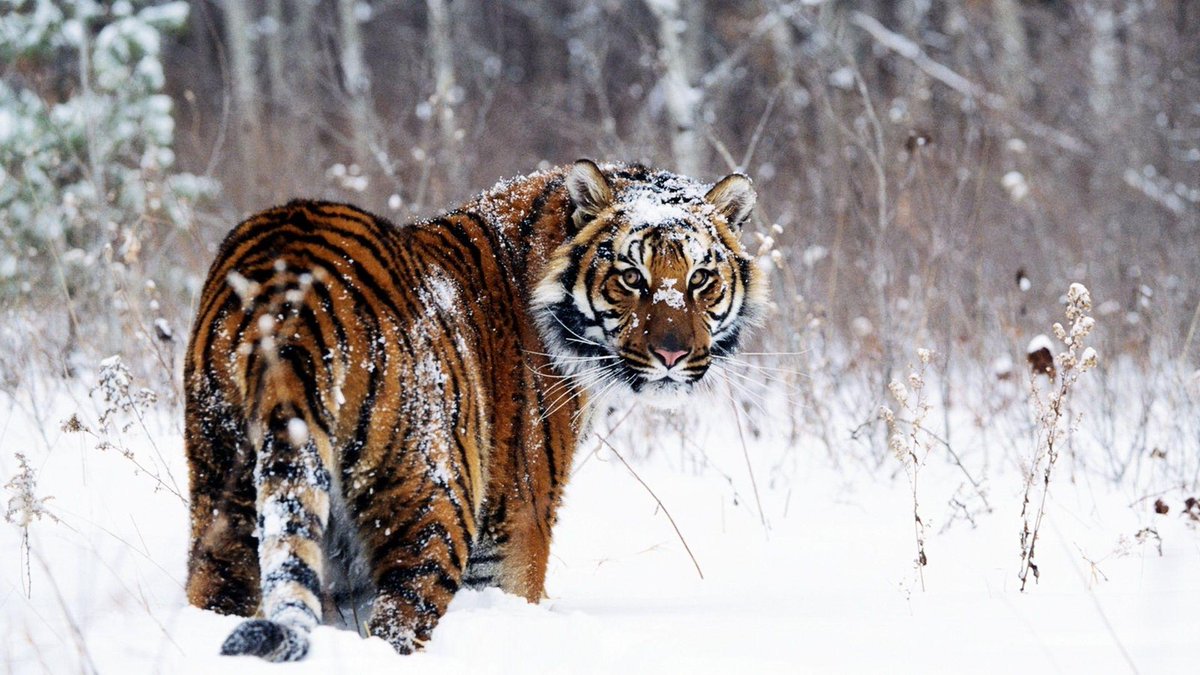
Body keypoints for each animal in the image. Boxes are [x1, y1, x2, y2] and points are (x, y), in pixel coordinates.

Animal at [183, 159, 767, 661]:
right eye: (630, 277)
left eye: (699, 279)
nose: (672, 355)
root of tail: (289, 293)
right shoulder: (517, 522)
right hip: (434, 502)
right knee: (398, 623)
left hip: (224, 490)